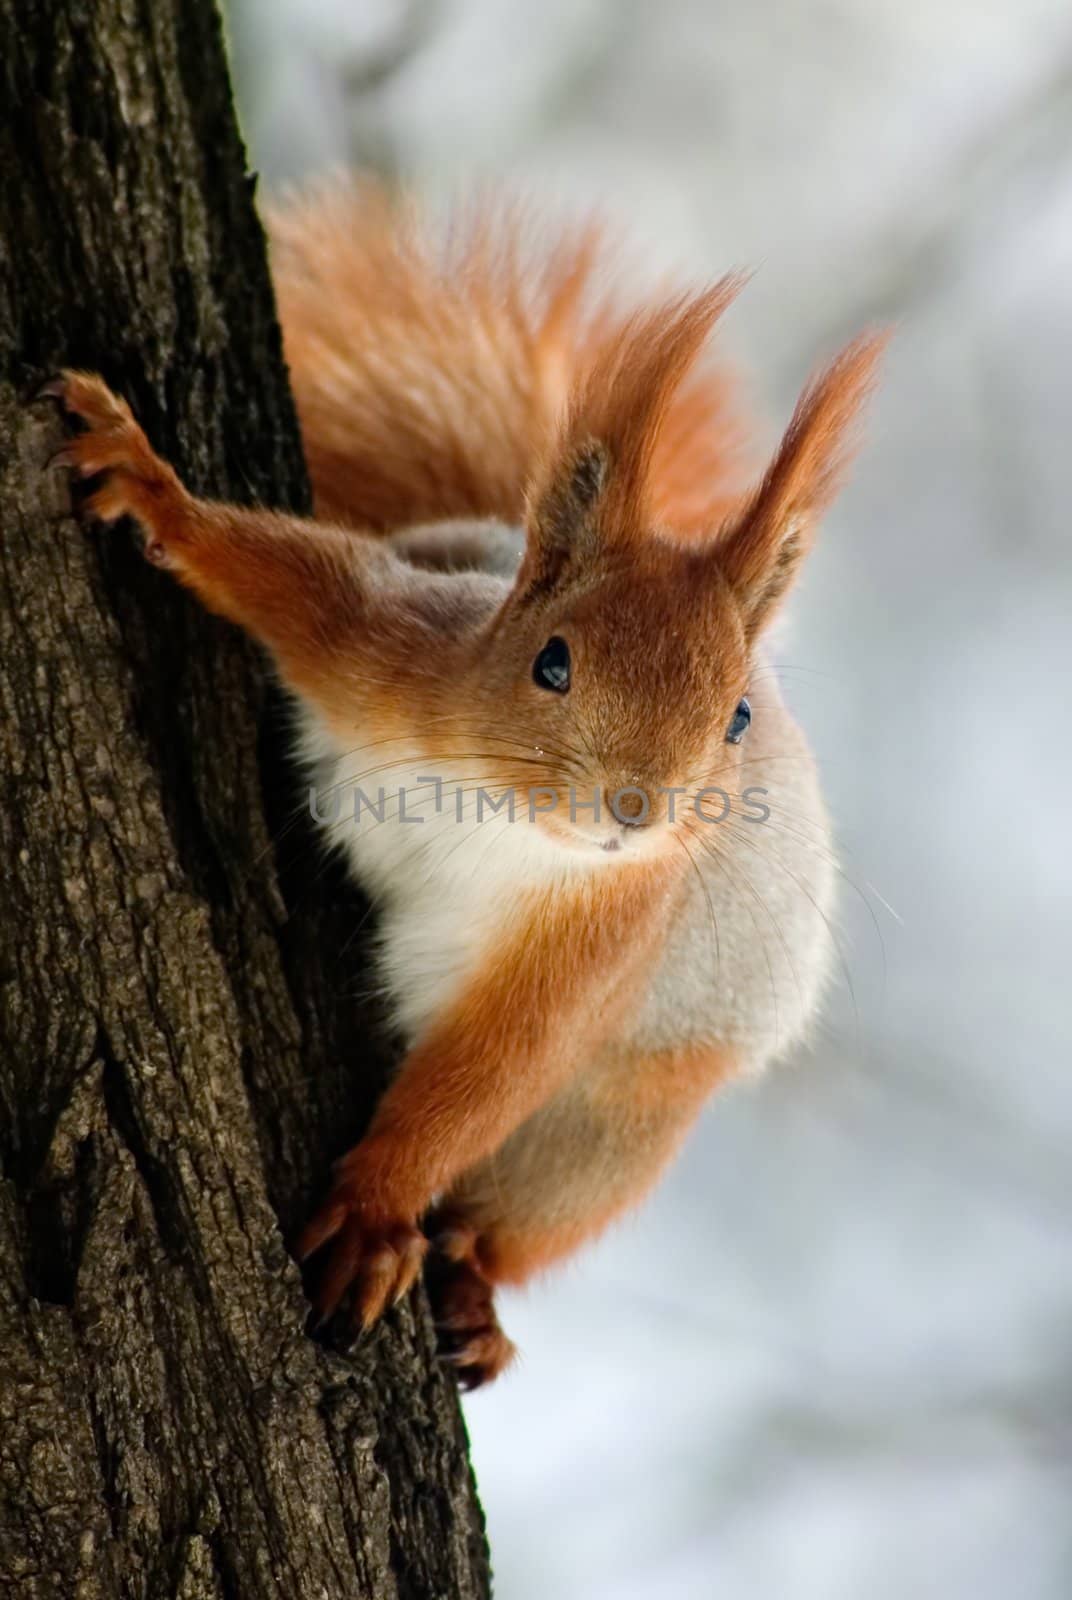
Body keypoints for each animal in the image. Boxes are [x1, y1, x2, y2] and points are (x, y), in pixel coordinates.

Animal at [42, 178, 883, 1388]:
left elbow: (485, 1073)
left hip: (610, 1134)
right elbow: (283, 574)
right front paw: (148, 482)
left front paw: (374, 1214)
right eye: (551, 662)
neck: (509, 817)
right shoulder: (386, 653)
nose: (635, 812)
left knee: (512, 1218)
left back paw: (473, 1293)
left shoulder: (605, 935)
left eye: (736, 717)